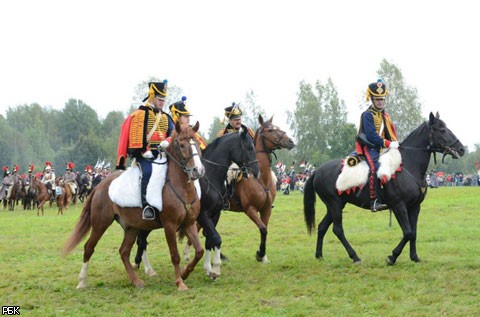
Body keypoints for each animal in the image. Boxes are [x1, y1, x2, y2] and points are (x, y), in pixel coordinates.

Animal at [62, 122, 205, 290]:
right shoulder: (169, 226)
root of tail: (100, 185)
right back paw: (82, 281)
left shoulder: (189, 224)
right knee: (89, 247)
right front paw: (180, 282)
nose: (198, 170)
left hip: (132, 227)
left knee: (124, 251)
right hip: (100, 223)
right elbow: (175, 255)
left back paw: (135, 280)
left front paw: (185, 273)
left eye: (197, 143)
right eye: (181, 145)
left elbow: (199, 251)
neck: (180, 187)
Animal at [133, 124, 258, 278]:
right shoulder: (203, 215)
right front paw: (216, 268)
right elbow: (215, 238)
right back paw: (146, 268)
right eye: (250, 147)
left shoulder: (215, 214)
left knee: (142, 240)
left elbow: (210, 239)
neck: (210, 176)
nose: (256, 171)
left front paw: (209, 268)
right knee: (141, 240)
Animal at [304, 111, 464, 264]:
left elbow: (413, 232)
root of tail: (317, 171)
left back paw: (319, 255)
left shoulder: (415, 207)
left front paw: (414, 257)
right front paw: (392, 257)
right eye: (441, 129)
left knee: (322, 226)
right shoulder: (399, 205)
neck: (408, 166)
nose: (461, 149)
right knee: (338, 229)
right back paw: (355, 257)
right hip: (335, 204)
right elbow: (408, 232)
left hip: (335, 205)